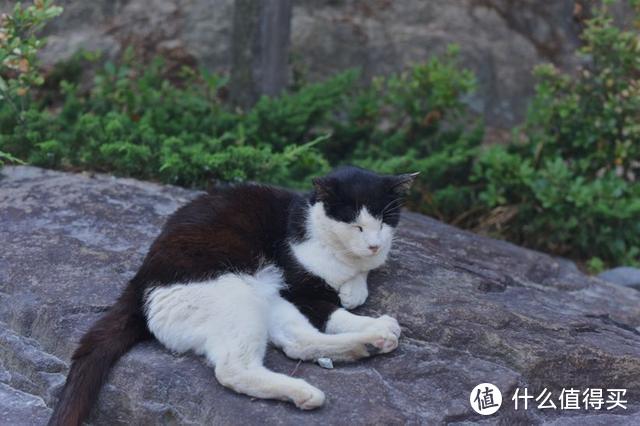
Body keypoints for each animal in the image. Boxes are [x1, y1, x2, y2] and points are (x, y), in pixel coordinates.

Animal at [47, 165, 418, 424]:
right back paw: (307, 390)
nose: (374, 244)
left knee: (298, 342)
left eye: (384, 222)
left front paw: (358, 288)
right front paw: (353, 297)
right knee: (233, 370)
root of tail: (139, 284)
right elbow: (334, 310)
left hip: (266, 299)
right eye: (356, 225)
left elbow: (355, 287)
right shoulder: (298, 288)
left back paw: (369, 342)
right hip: (236, 296)